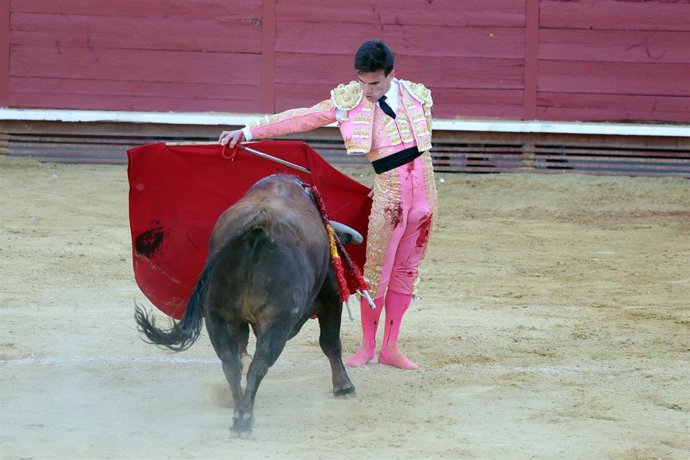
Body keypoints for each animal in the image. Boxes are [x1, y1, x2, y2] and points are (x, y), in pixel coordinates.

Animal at [134, 172, 354, 434]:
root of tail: (259, 224)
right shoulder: (331, 296)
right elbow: (330, 342)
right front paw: (344, 386)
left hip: (217, 316)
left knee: (231, 363)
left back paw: (238, 409)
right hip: (277, 320)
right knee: (260, 361)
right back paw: (245, 418)